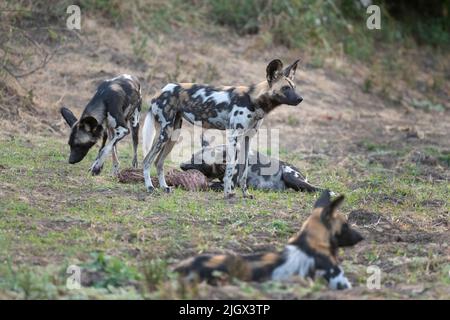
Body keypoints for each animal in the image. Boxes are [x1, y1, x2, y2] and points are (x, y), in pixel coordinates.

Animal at [142, 57, 304, 198]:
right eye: (285, 88)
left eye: (294, 87)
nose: (300, 99)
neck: (254, 100)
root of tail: (162, 90)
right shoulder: (233, 137)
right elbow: (230, 169)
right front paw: (228, 193)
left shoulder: (247, 139)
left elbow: (243, 172)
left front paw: (245, 194)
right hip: (164, 133)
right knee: (147, 160)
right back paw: (150, 187)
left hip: (173, 134)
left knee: (158, 162)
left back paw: (164, 187)